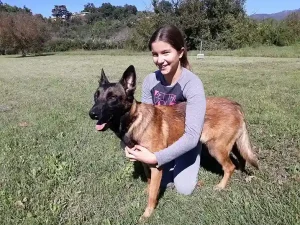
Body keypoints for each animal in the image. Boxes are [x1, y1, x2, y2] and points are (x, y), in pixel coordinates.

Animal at [88, 64, 258, 220]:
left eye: (112, 97)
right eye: (96, 96)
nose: (92, 114)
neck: (134, 120)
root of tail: (235, 105)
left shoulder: (156, 166)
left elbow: (152, 195)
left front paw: (147, 214)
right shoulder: (145, 163)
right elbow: (149, 181)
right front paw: (147, 190)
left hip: (216, 148)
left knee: (229, 167)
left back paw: (221, 186)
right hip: (233, 145)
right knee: (241, 159)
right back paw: (242, 174)